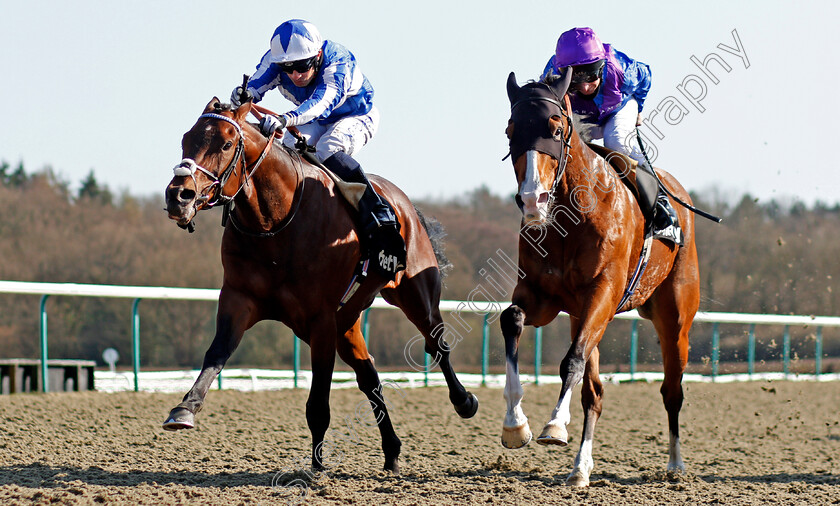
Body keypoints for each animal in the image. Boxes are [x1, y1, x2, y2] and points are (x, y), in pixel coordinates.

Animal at [162, 97, 480, 472]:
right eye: (186, 139)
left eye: (226, 144)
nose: (178, 196)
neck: (276, 222)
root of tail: (407, 205)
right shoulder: (239, 299)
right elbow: (217, 352)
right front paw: (184, 409)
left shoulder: (321, 320)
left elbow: (318, 400)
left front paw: (316, 467)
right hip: (349, 321)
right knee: (370, 377)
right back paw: (391, 451)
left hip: (414, 294)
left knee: (436, 344)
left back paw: (464, 401)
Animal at [502, 71, 700, 486]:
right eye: (511, 130)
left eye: (555, 128)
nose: (531, 200)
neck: (570, 217)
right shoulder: (541, 296)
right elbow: (511, 319)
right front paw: (515, 425)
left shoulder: (604, 293)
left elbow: (572, 361)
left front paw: (554, 426)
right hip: (581, 314)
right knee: (593, 392)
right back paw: (581, 468)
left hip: (674, 318)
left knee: (672, 390)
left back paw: (675, 465)